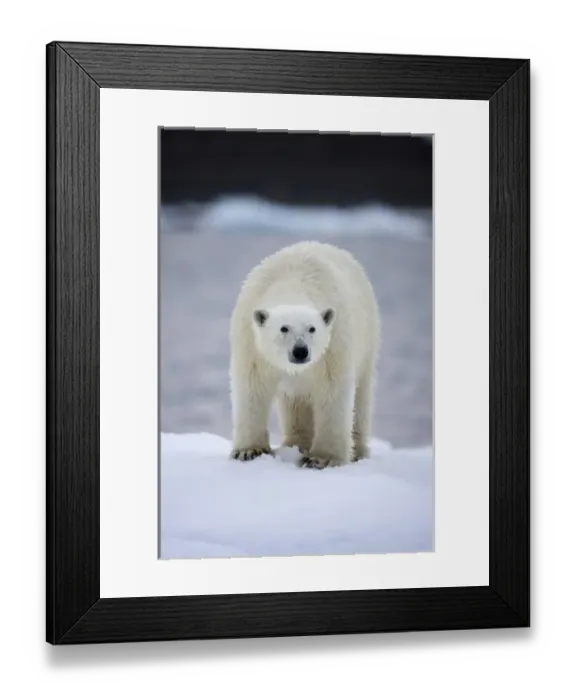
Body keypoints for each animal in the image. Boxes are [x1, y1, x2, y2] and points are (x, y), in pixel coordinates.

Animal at [228, 240, 380, 469]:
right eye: (283, 328)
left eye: (312, 329)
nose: (300, 351)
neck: (292, 282)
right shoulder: (251, 343)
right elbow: (252, 388)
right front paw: (249, 451)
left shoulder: (334, 344)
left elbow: (332, 391)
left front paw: (321, 458)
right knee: (295, 403)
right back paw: (295, 445)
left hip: (367, 339)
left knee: (361, 397)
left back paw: (358, 451)